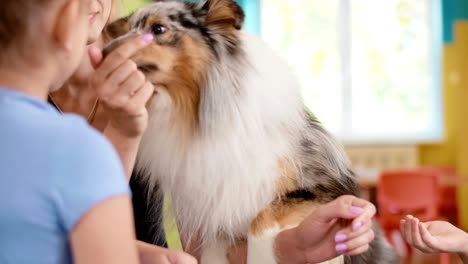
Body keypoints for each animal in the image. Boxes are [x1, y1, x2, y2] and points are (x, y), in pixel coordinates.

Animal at [102, 1, 398, 262]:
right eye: (129, 29)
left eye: (159, 29)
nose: (105, 51)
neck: (200, 113)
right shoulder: (213, 204)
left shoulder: (321, 189)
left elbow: (261, 219)